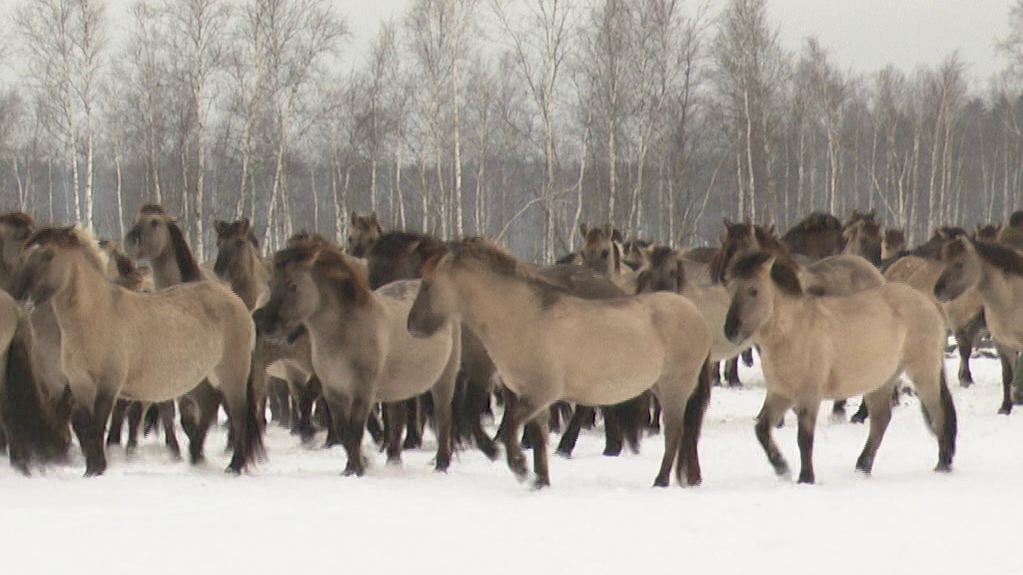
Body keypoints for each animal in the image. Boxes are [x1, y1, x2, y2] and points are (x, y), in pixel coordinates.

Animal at [12, 225, 259, 474]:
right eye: (25, 255)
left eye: (48, 255)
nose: (19, 296)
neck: (94, 317)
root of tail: (236, 300)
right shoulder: (80, 386)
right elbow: (83, 425)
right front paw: (91, 469)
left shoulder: (109, 385)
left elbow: (96, 426)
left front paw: (98, 469)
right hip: (202, 378)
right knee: (208, 409)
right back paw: (196, 457)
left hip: (232, 374)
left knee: (239, 415)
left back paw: (235, 466)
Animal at [407, 237, 712, 487]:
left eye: (428, 284)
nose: (412, 327)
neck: (524, 318)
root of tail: (696, 314)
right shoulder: (535, 399)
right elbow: (538, 439)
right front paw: (540, 480)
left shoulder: (539, 394)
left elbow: (510, 430)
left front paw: (518, 468)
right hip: (660, 387)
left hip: (675, 387)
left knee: (675, 432)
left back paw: (660, 480)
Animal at [724, 248, 953, 480]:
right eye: (730, 288)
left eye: (753, 290)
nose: (730, 331)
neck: (794, 331)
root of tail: (929, 303)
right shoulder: (781, 393)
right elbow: (761, 429)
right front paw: (782, 468)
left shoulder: (809, 394)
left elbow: (804, 438)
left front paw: (806, 478)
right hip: (882, 380)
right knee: (881, 419)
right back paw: (862, 468)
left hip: (923, 371)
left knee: (938, 412)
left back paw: (942, 465)